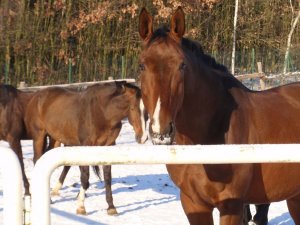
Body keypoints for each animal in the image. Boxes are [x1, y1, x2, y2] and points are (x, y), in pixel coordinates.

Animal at [24, 81, 148, 215]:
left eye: (146, 110)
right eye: (133, 108)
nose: (143, 137)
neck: (102, 113)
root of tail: (36, 96)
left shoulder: (108, 146)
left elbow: (107, 178)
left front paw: (111, 207)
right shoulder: (85, 145)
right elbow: (85, 178)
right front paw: (81, 207)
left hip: (55, 139)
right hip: (39, 136)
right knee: (37, 160)